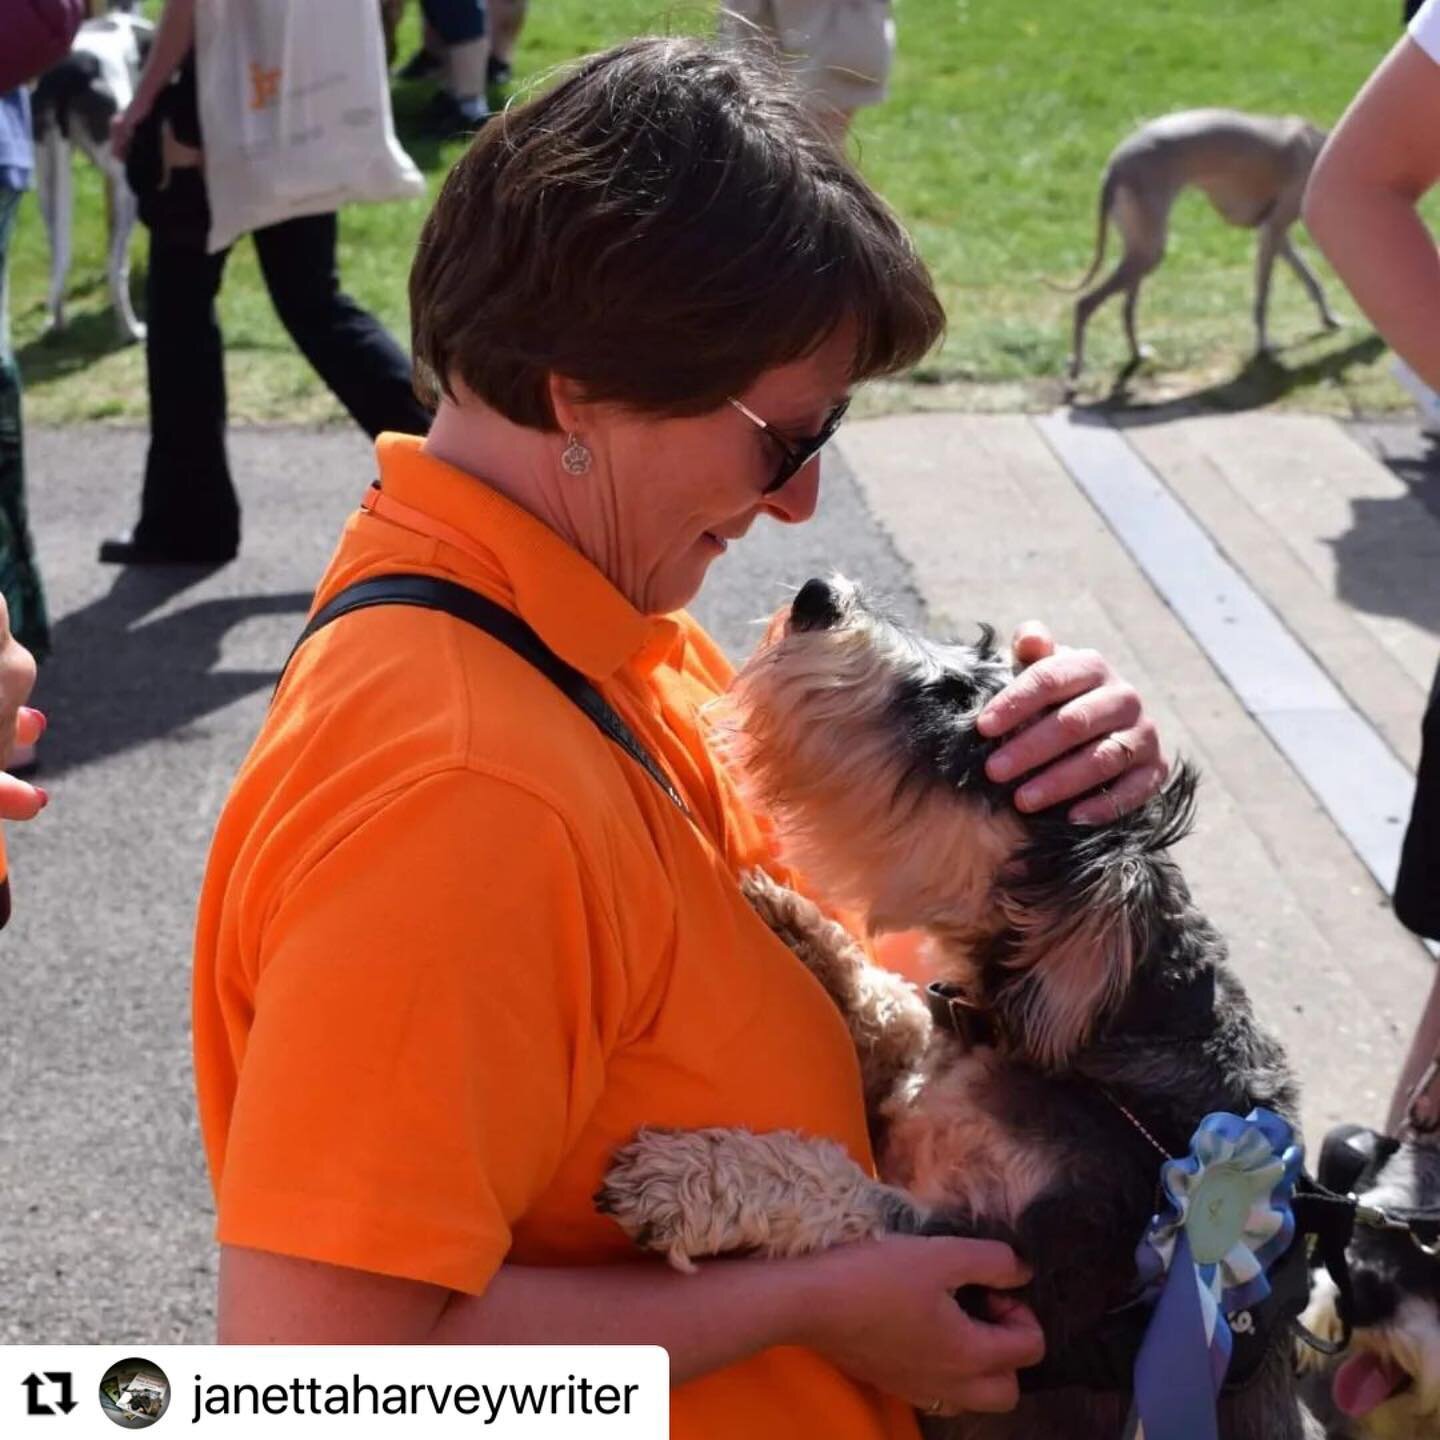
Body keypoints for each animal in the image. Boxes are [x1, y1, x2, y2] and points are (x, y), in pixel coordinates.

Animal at [30, 4, 152, 344]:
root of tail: (62, 75)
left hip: (47, 186)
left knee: (58, 263)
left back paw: (58, 324)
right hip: (127, 188)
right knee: (115, 269)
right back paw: (131, 330)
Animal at [596, 576, 1319, 1440]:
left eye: (956, 715)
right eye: (968, 656)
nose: (818, 595)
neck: (1102, 1069)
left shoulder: (1007, 1273)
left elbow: (847, 1194)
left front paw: (688, 1178)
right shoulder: (922, 1072)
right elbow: (897, 1013)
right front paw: (801, 929)